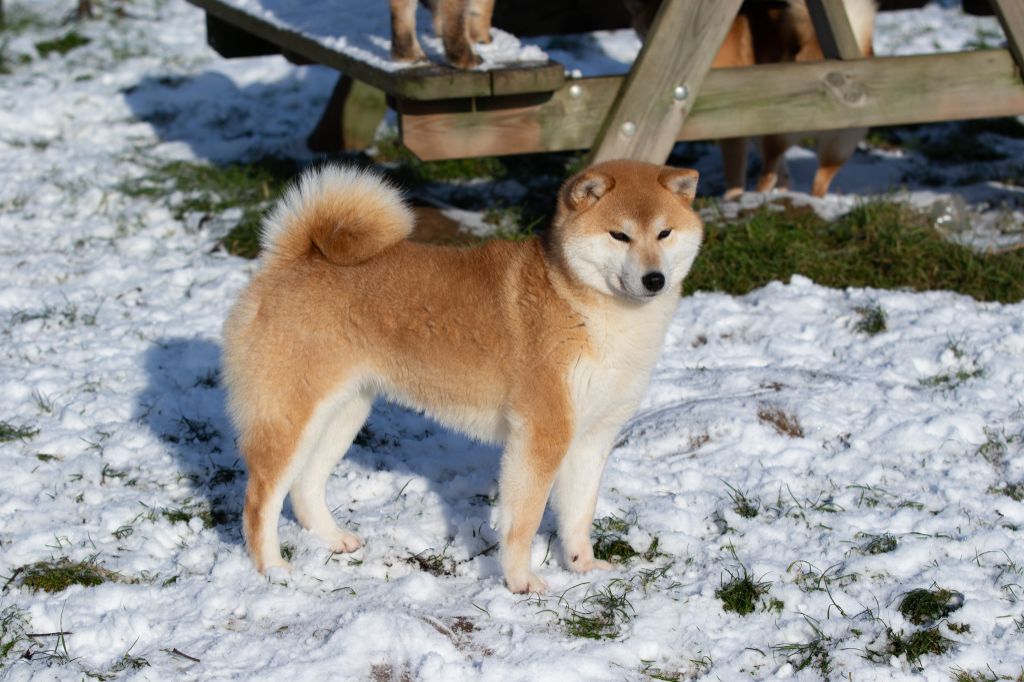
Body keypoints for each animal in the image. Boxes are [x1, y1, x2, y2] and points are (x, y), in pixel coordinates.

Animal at [222, 159, 703, 593]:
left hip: (343, 413)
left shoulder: (592, 436)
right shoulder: (542, 434)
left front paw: (582, 567)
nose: (654, 279)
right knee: (260, 499)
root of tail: (291, 257)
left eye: (664, 233)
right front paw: (521, 582)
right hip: (291, 416)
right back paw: (273, 570)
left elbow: (579, 515)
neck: (580, 302)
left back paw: (335, 539)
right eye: (619, 235)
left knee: (305, 489)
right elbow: (523, 522)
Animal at [624, 0, 876, 198]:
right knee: (810, 182)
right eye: (645, 31)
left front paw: (732, 199)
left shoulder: (731, 128)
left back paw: (757, 198)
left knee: (770, 172)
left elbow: (734, 172)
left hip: (776, 133)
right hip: (831, 146)